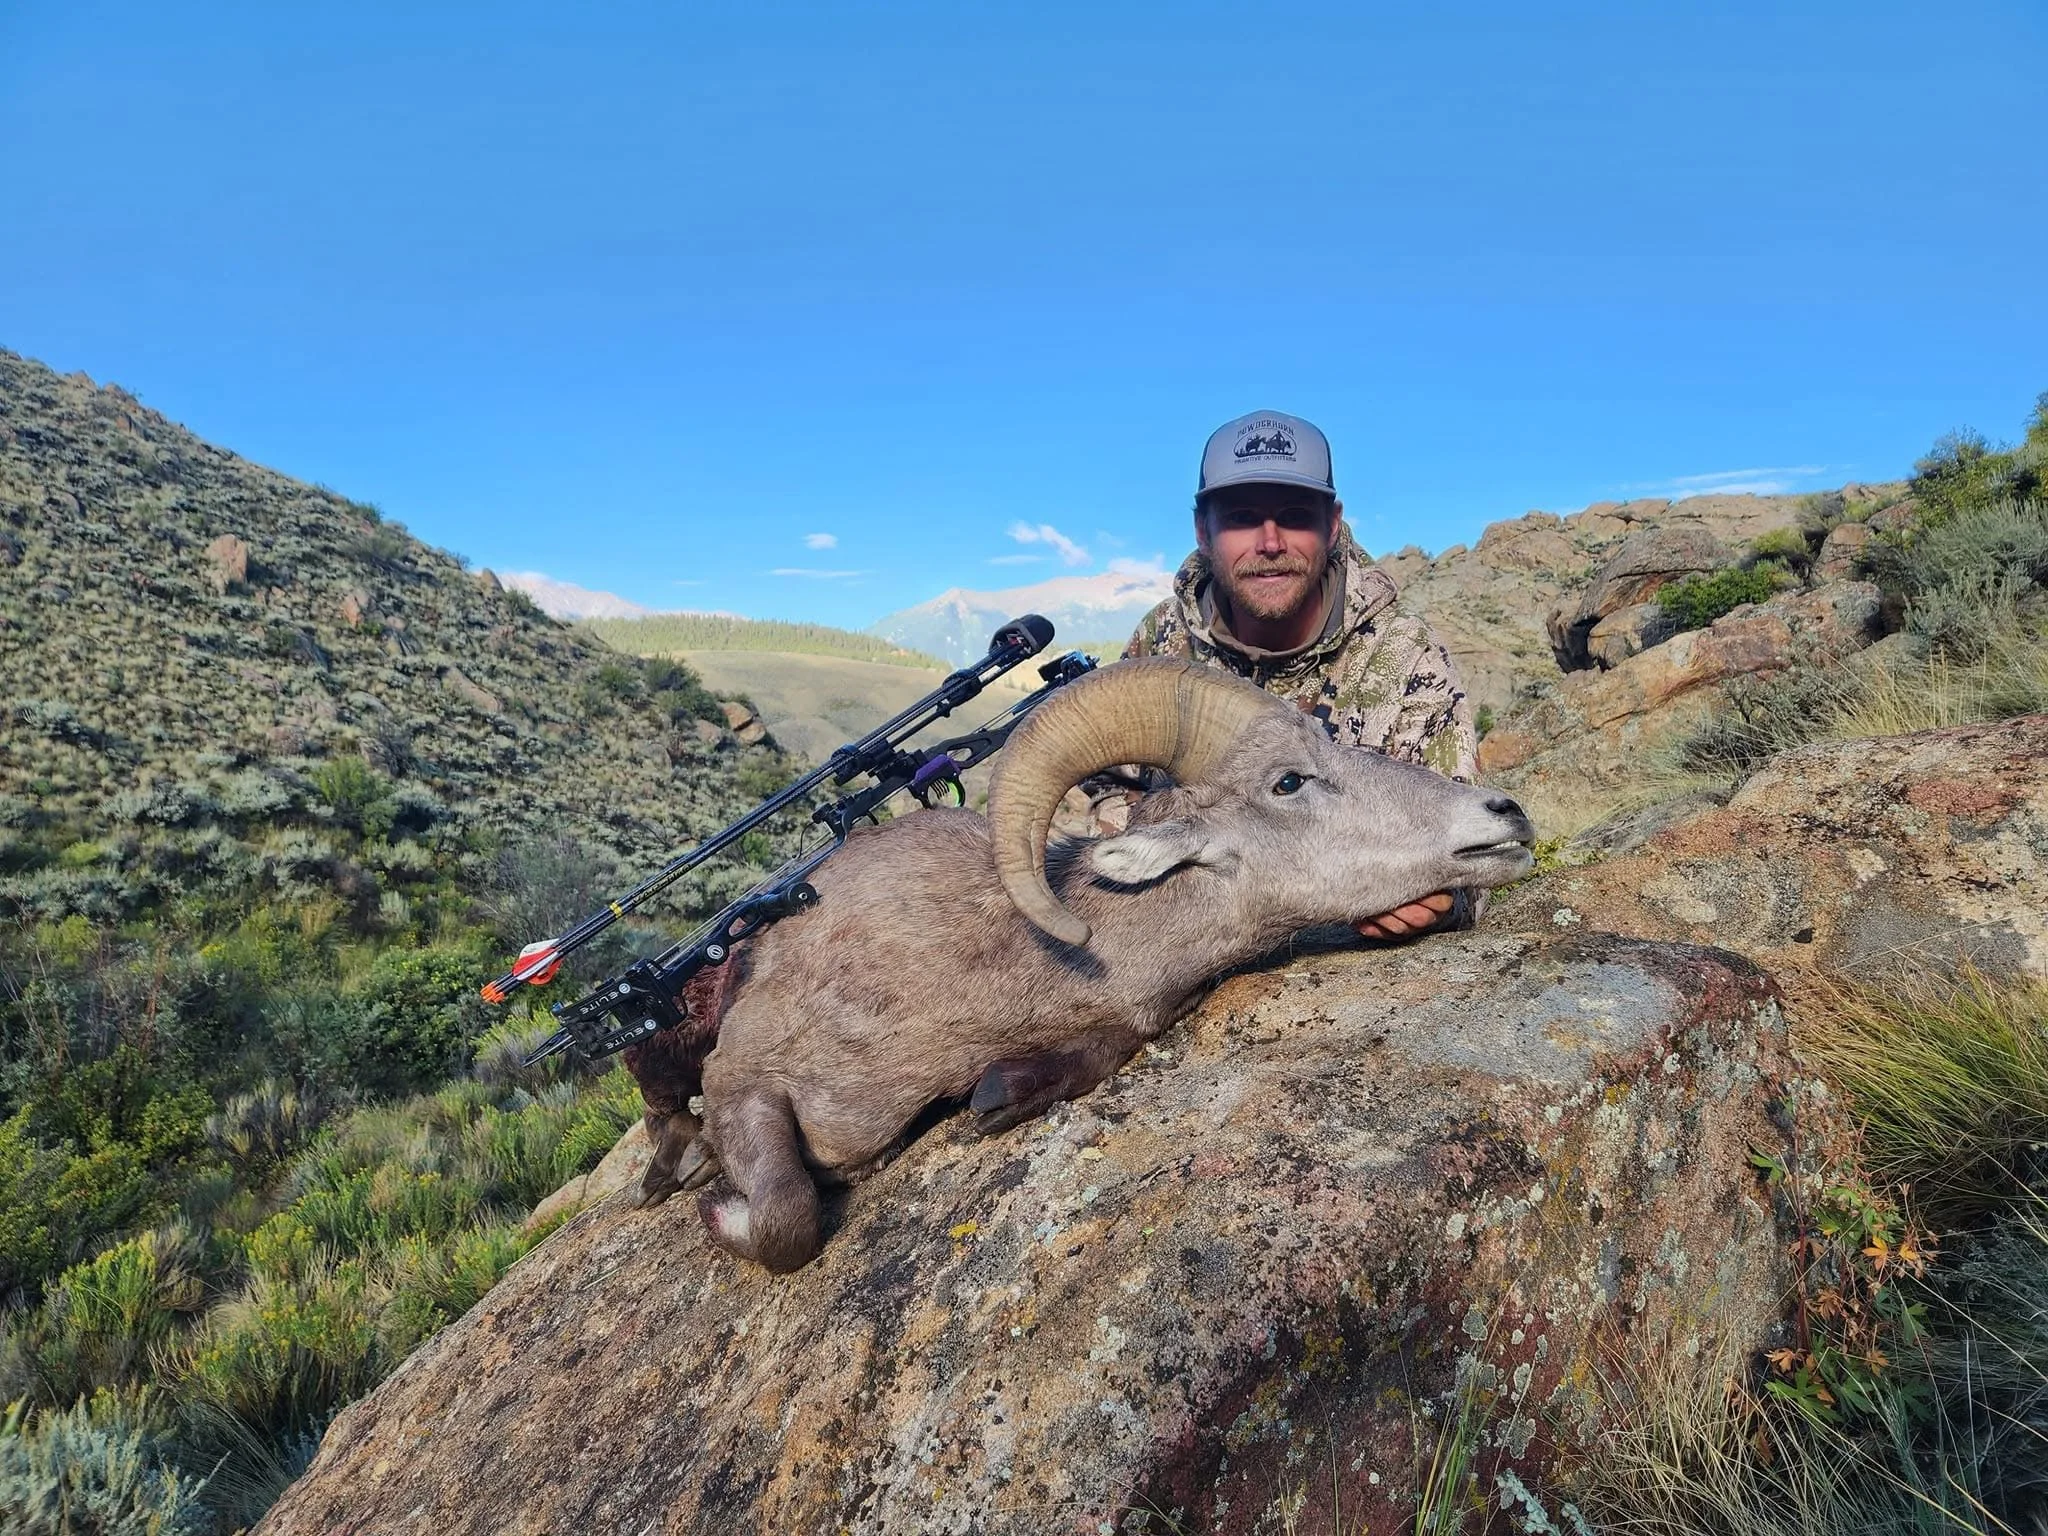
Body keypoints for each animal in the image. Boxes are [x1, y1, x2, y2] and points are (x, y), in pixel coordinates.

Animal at [671, 657, 1536, 1272]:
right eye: (1289, 780)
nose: (1507, 814)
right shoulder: (742, 1078)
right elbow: (787, 1218)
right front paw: (716, 1205)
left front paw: (999, 1094)